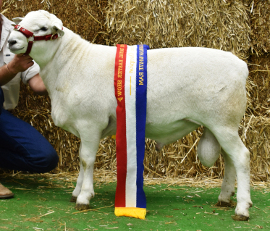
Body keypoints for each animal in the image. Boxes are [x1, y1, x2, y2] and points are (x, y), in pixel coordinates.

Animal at [8, 10, 252, 220]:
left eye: (42, 28)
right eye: (21, 23)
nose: (11, 41)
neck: (71, 63)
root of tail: (242, 66)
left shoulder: (90, 122)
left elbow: (86, 160)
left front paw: (84, 197)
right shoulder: (84, 126)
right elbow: (81, 160)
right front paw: (77, 191)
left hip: (223, 122)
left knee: (241, 157)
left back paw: (242, 208)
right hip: (223, 125)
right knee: (230, 159)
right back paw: (225, 198)